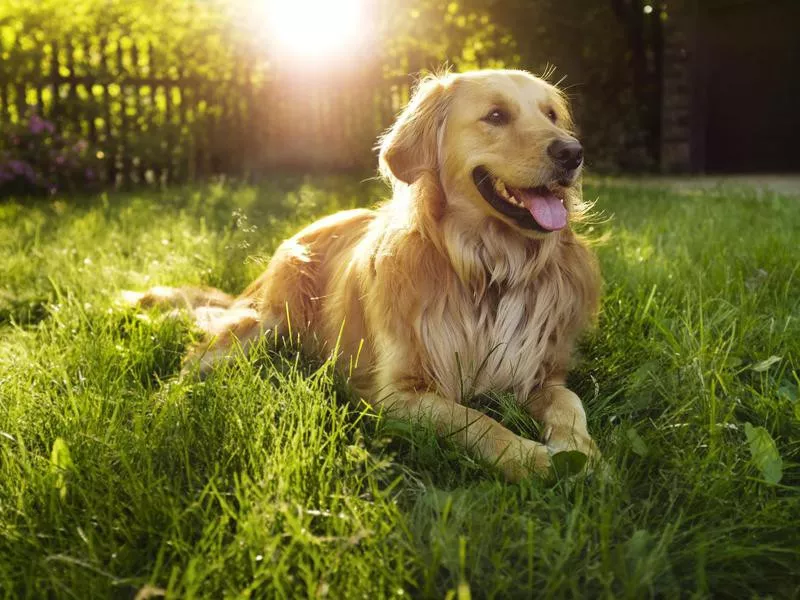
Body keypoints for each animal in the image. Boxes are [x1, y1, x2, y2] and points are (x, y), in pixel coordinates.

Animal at [128, 70, 596, 482]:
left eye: (552, 115)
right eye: (496, 116)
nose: (573, 153)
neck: (488, 269)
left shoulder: (539, 371)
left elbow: (569, 401)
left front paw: (581, 451)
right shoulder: (399, 393)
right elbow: (477, 420)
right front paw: (530, 458)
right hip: (261, 325)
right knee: (188, 366)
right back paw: (160, 412)